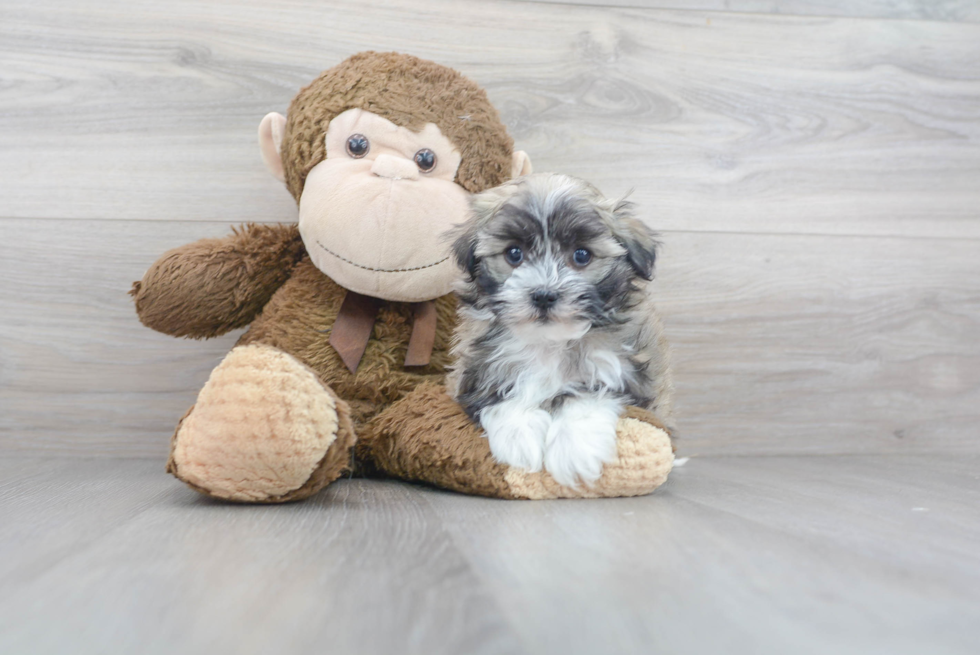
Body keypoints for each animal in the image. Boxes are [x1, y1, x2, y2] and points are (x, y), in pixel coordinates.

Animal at [446, 173, 668, 486]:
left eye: (582, 255)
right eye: (514, 253)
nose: (543, 295)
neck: (549, 342)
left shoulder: (625, 375)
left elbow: (584, 396)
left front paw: (575, 448)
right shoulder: (474, 370)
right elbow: (502, 395)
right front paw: (518, 436)